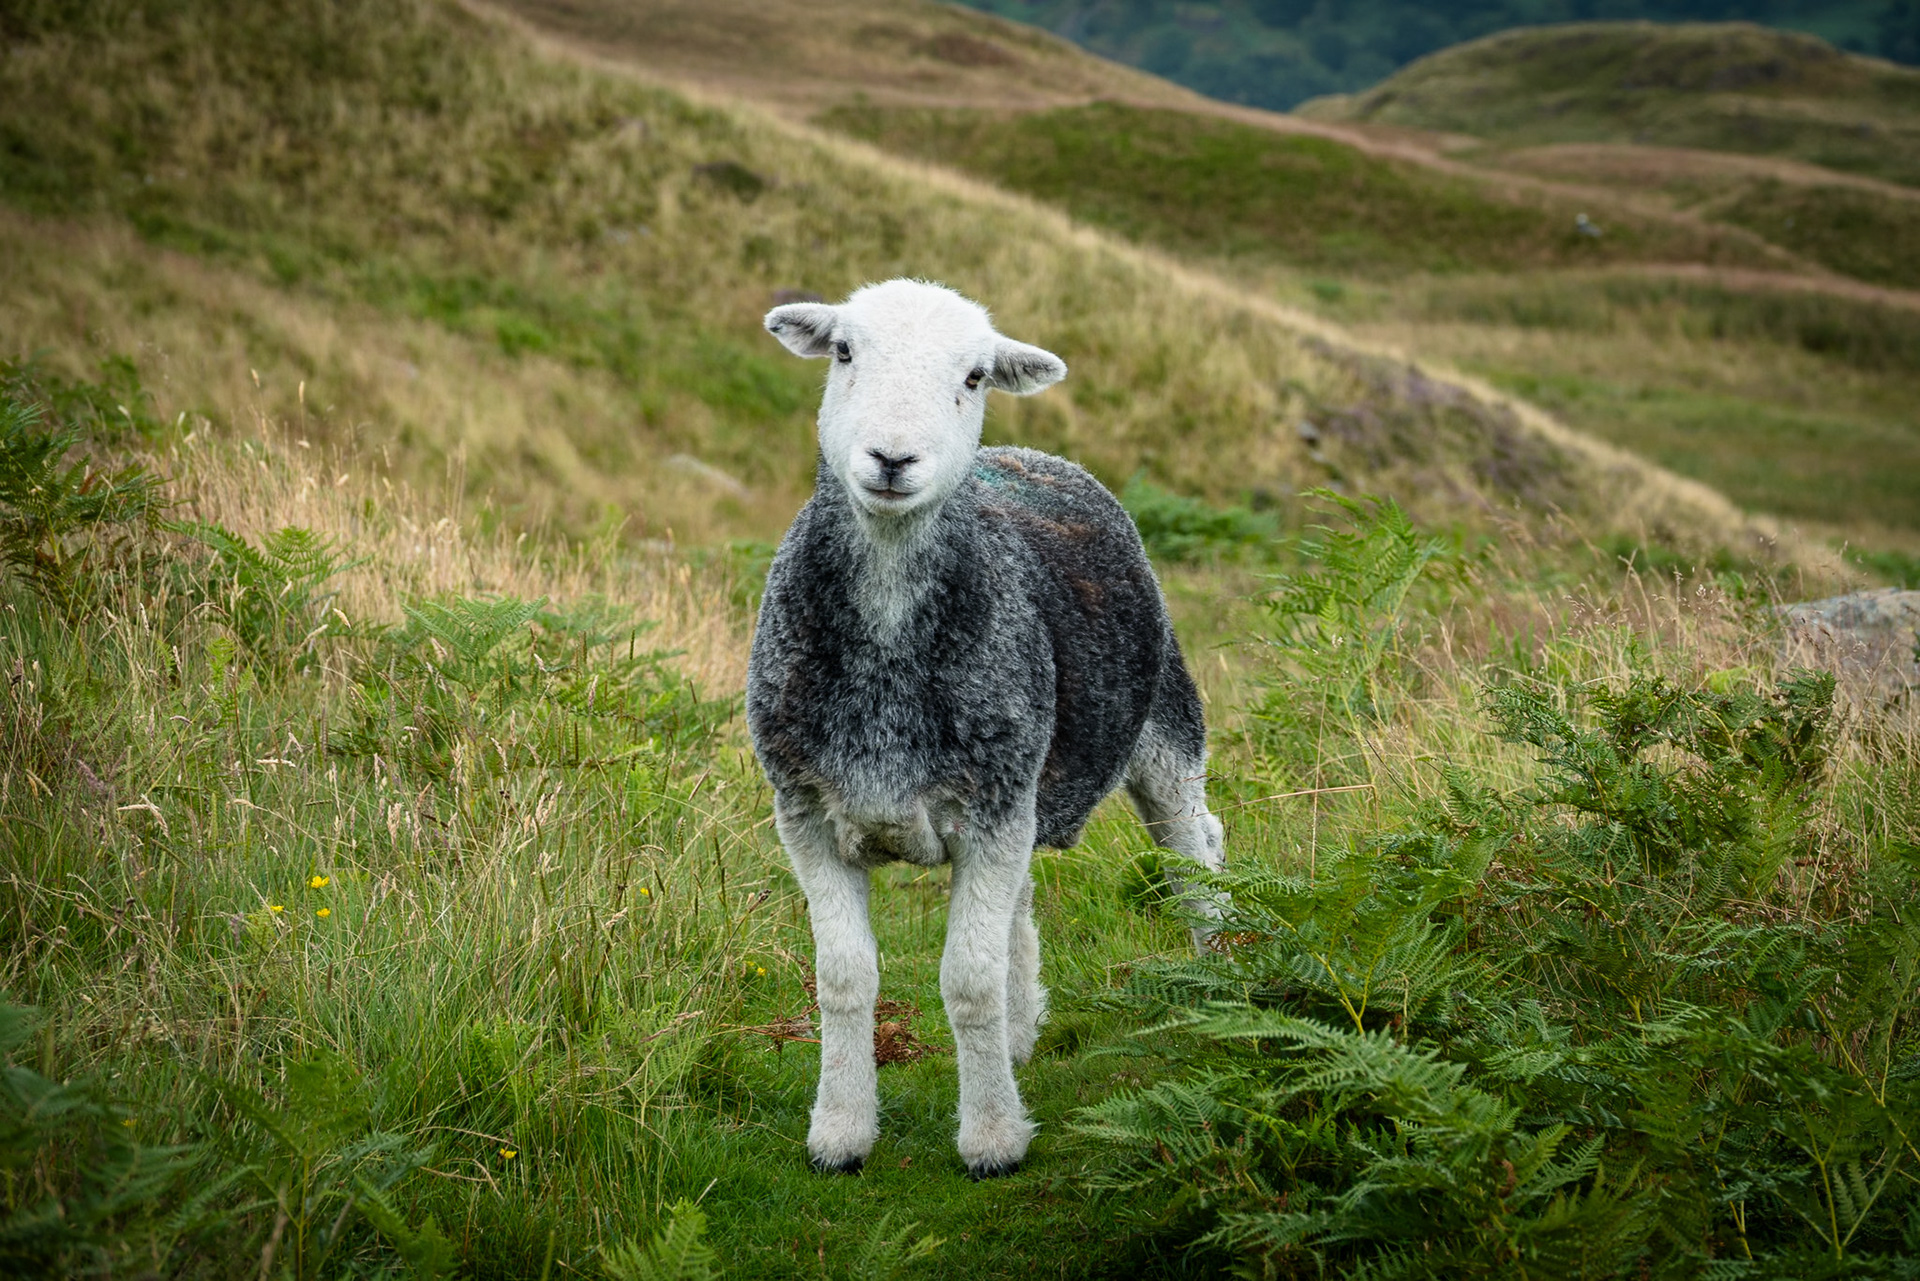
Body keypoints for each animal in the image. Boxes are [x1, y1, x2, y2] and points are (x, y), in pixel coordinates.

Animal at [748, 278, 1225, 1180]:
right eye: (843, 350)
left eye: (973, 376)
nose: (892, 459)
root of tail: (1036, 455)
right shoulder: (806, 811)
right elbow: (843, 978)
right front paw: (841, 1130)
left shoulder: (994, 808)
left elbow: (966, 981)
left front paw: (993, 1137)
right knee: (1023, 904)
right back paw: (1020, 1030)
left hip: (1162, 728)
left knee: (1196, 851)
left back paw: (1227, 985)